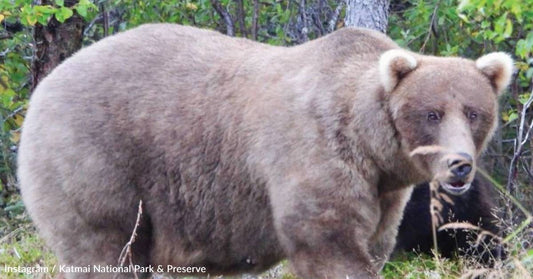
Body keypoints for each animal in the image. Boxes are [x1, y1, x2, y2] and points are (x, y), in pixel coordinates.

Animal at [18, 24, 512, 279]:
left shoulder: (385, 193)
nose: (459, 165)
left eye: (473, 112)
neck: (372, 145)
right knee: (106, 247)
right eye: (431, 113)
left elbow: (380, 240)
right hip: (97, 160)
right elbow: (326, 237)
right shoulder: (315, 149)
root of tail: (44, 85)